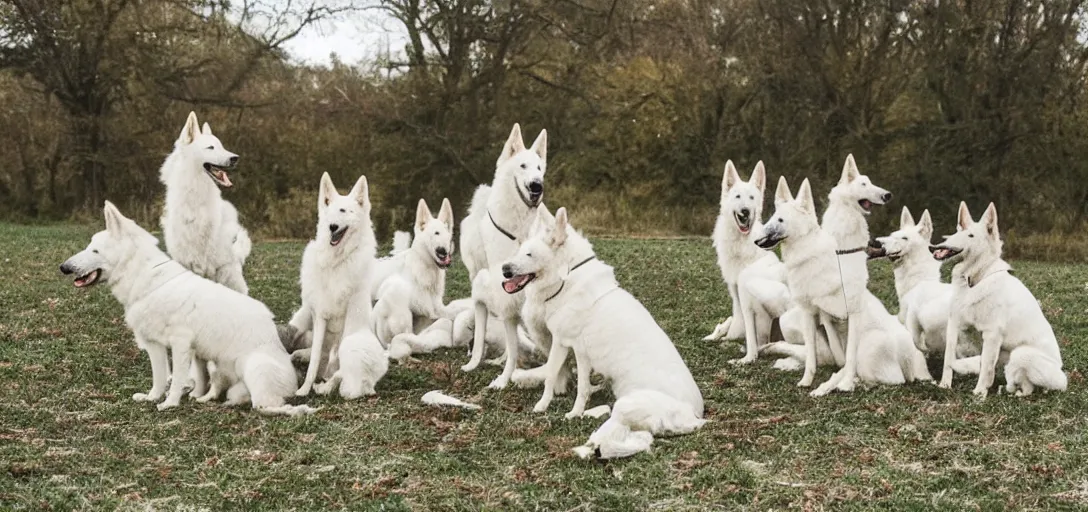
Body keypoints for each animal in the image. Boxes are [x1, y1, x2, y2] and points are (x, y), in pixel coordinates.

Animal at [62, 202, 313, 415]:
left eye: (94, 251)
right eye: (89, 248)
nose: (64, 268)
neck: (145, 278)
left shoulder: (180, 343)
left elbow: (177, 379)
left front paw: (170, 403)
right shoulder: (158, 347)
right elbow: (161, 378)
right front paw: (154, 397)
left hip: (254, 369)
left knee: (267, 406)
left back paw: (297, 410)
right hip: (224, 374)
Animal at [289, 172, 378, 397]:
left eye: (344, 211)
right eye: (328, 212)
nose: (332, 227)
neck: (337, 261)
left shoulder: (349, 315)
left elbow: (337, 360)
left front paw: (326, 383)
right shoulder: (320, 314)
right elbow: (314, 360)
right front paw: (304, 389)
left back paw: (328, 384)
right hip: (304, 317)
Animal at [456, 124, 544, 389]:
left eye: (540, 168)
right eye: (523, 166)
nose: (537, 186)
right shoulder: (506, 295)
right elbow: (511, 346)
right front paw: (505, 378)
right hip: (483, 292)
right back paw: (478, 362)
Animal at [500, 206, 705, 458]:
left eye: (529, 255)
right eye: (520, 251)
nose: (504, 269)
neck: (566, 277)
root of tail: (695, 416)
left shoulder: (565, 344)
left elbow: (556, 378)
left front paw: (551, 407)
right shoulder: (574, 350)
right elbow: (575, 382)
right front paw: (574, 406)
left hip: (625, 405)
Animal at [931, 202, 1066, 397]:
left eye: (970, 235)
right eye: (956, 233)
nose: (936, 246)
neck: (975, 279)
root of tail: (1062, 377)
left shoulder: (991, 334)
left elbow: (986, 368)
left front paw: (979, 394)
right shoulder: (954, 325)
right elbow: (950, 359)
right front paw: (945, 385)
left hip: (1020, 354)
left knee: (1028, 387)